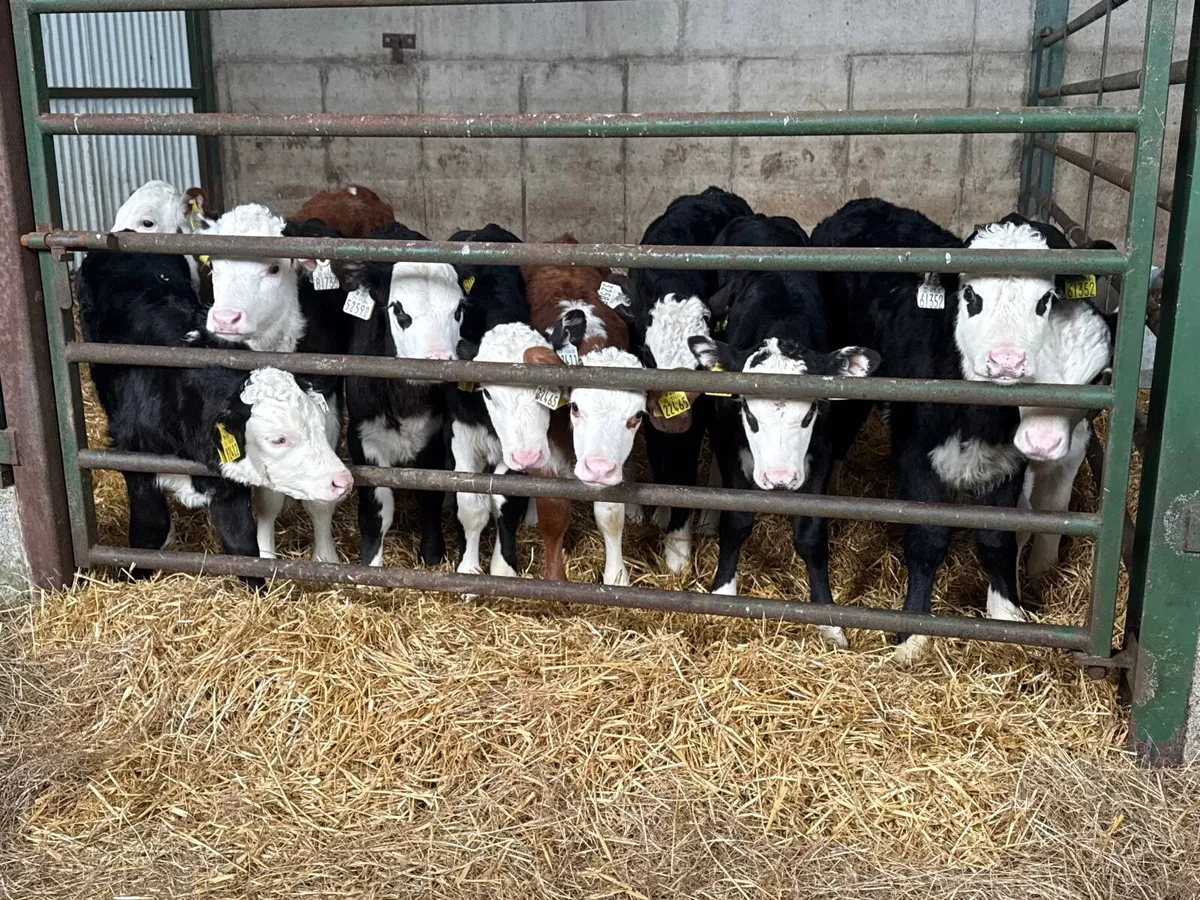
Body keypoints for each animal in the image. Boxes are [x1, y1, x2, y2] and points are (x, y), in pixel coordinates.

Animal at [77, 250, 352, 588]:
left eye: (318, 426)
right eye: (278, 439)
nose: (343, 481)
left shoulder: (228, 480)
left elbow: (241, 541)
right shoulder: (134, 459)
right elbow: (150, 526)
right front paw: (132, 575)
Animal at [627, 186, 754, 575]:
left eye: (698, 363)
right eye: (647, 353)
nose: (675, 421)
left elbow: (684, 470)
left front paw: (678, 548)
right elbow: (662, 461)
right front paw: (664, 511)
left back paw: (710, 517)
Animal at [688, 214, 880, 647]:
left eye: (809, 414)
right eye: (748, 412)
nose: (779, 479)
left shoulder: (820, 451)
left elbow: (810, 533)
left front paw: (828, 620)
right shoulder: (729, 437)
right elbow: (736, 521)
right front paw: (723, 592)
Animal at [812, 198, 1090, 663]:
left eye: (1046, 299)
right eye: (971, 295)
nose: (1006, 362)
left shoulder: (1010, 458)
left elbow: (997, 537)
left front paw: (1006, 613)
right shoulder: (914, 451)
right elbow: (928, 538)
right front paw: (912, 635)